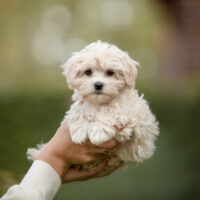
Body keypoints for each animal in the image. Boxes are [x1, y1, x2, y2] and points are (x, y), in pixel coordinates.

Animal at [27, 40, 159, 166]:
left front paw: (98, 132)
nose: (98, 84)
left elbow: (111, 111)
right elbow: (78, 111)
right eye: (88, 72)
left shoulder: (129, 115)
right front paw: (79, 131)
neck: (98, 103)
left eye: (110, 72)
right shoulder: (80, 103)